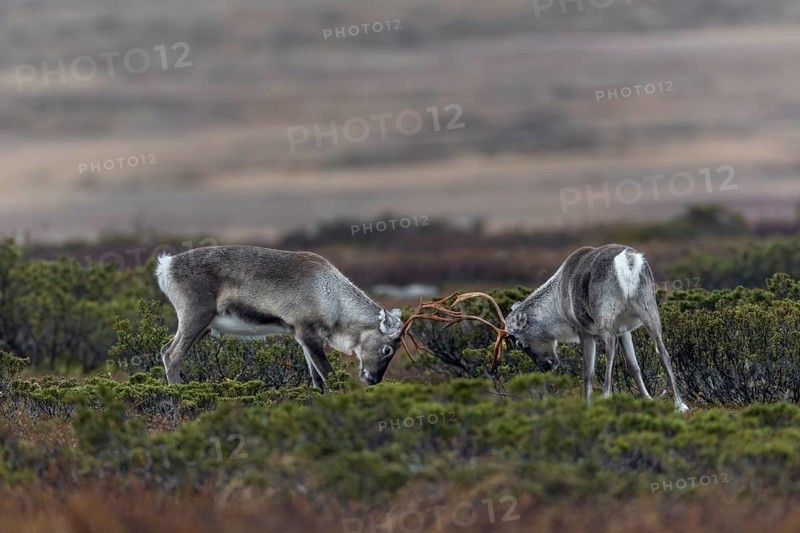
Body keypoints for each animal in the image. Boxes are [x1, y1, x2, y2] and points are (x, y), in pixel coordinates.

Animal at [155, 245, 405, 390]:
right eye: (387, 349)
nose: (373, 380)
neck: (335, 299)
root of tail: (166, 266)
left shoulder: (303, 337)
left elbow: (316, 379)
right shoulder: (308, 333)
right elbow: (328, 375)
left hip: (203, 325)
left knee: (165, 349)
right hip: (195, 316)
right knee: (172, 355)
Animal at [402, 245, 689, 412]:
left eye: (519, 342)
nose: (546, 366)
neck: (558, 303)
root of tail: (628, 262)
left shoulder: (585, 331)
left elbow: (587, 371)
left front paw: (588, 403)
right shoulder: (624, 328)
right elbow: (634, 365)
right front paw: (648, 399)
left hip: (606, 318)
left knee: (609, 352)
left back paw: (607, 397)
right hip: (648, 309)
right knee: (663, 351)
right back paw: (680, 404)